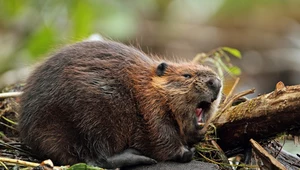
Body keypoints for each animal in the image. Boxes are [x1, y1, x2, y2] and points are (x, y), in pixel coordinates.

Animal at [18, 40, 220, 169]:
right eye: (187, 75)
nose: (216, 82)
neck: (148, 86)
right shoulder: (151, 109)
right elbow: (161, 137)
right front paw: (186, 152)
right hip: (94, 115)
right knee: (96, 158)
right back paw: (138, 156)